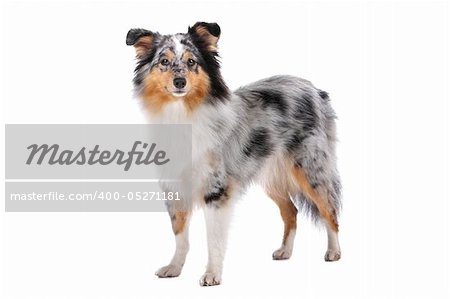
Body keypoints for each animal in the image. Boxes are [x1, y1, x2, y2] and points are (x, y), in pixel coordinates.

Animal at [125, 22, 342, 288]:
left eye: (191, 62)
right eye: (164, 61)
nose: (179, 82)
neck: (182, 115)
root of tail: (315, 89)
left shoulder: (216, 190)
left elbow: (213, 239)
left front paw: (212, 275)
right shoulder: (175, 188)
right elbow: (180, 235)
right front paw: (174, 268)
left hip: (311, 169)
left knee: (329, 209)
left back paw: (334, 252)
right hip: (271, 177)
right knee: (291, 212)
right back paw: (285, 251)